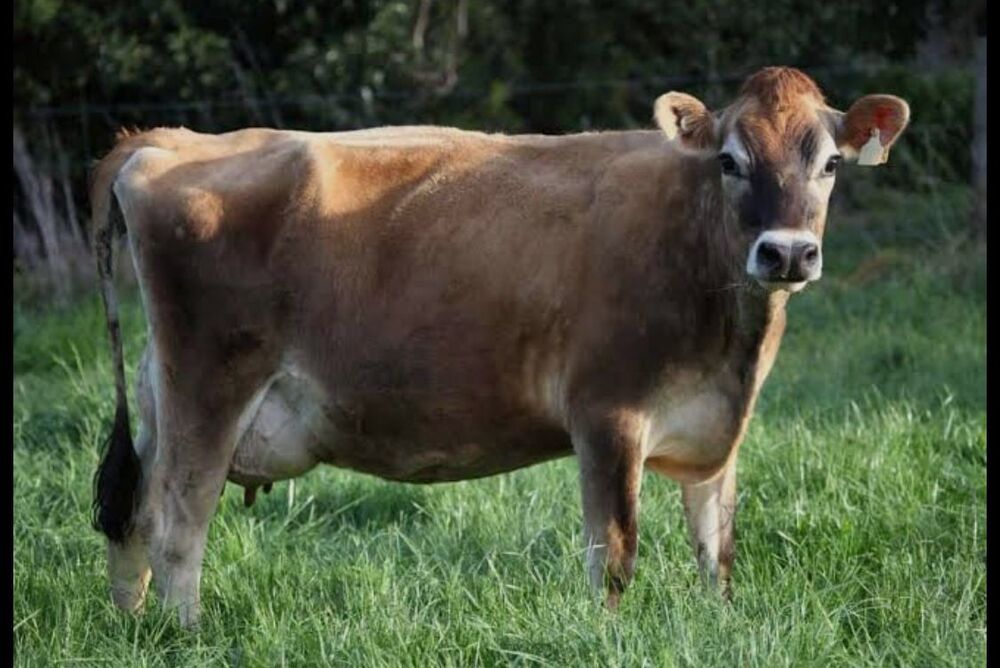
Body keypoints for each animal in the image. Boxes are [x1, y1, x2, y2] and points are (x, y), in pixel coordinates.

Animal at [89, 67, 909, 627]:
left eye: (830, 164)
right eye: (730, 160)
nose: (788, 253)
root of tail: (167, 142)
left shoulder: (719, 429)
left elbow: (717, 550)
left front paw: (720, 625)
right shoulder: (607, 414)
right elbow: (614, 554)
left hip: (165, 390)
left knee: (134, 514)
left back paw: (133, 630)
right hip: (209, 380)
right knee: (178, 518)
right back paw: (186, 634)